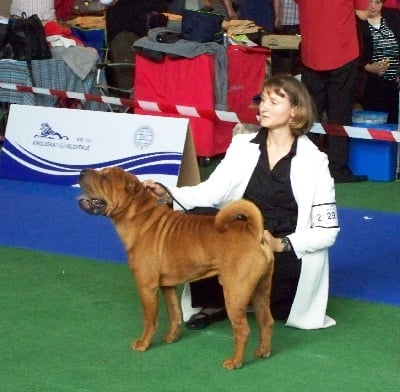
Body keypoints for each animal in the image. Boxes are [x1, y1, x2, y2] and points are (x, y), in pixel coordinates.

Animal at [79, 167, 276, 370]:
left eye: (105, 177)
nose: (82, 171)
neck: (138, 217)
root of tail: (254, 232)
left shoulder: (146, 286)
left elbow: (149, 319)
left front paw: (143, 343)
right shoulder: (167, 286)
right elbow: (174, 313)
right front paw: (171, 337)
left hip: (235, 292)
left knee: (242, 330)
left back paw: (235, 361)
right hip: (260, 290)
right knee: (266, 322)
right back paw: (263, 351)